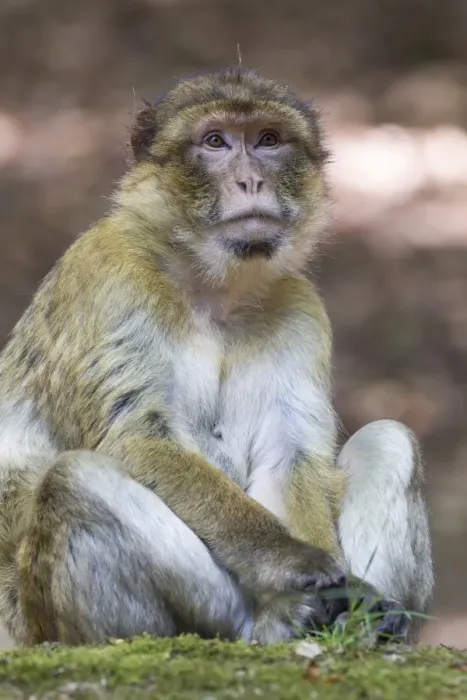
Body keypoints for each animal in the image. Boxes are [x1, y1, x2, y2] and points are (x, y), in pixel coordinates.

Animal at [0, 68, 433, 647]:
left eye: (269, 140)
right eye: (215, 142)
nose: (250, 181)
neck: (211, 286)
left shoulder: (299, 309)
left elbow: (288, 455)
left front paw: (350, 592)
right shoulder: (109, 272)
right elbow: (137, 439)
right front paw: (305, 565)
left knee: (388, 439)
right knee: (74, 482)